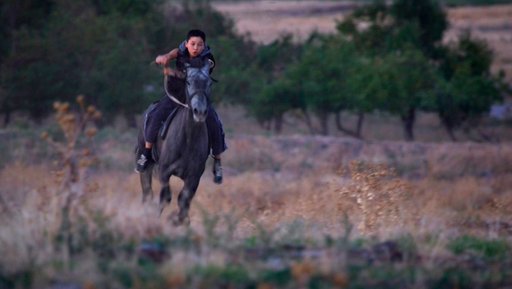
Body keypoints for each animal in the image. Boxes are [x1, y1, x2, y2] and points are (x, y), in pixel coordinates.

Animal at [137, 59, 211, 225]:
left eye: (209, 83)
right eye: (188, 82)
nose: (200, 112)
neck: (188, 140)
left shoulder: (193, 178)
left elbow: (183, 201)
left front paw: (179, 220)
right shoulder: (164, 171)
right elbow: (166, 197)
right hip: (146, 167)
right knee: (147, 192)